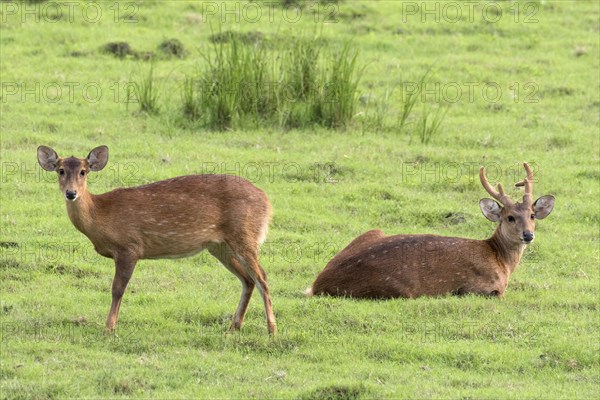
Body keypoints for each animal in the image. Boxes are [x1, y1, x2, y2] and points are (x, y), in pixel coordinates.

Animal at [38, 146, 278, 334]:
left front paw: (109, 328)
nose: (71, 193)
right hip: (219, 246)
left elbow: (117, 289)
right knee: (247, 280)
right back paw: (234, 326)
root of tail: (267, 202)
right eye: (60, 170)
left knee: (262, 277)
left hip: (245, 235)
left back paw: (271, 330)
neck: (101, 215)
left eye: (83, 171)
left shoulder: (130, 246)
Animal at [308, 162, 556, 296]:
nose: (528, 235)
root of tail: (317, 285)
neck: (501, 261)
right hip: (399, 289)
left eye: (532, 215)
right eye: (510, 217)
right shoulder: (480, 288)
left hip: (373, 231)